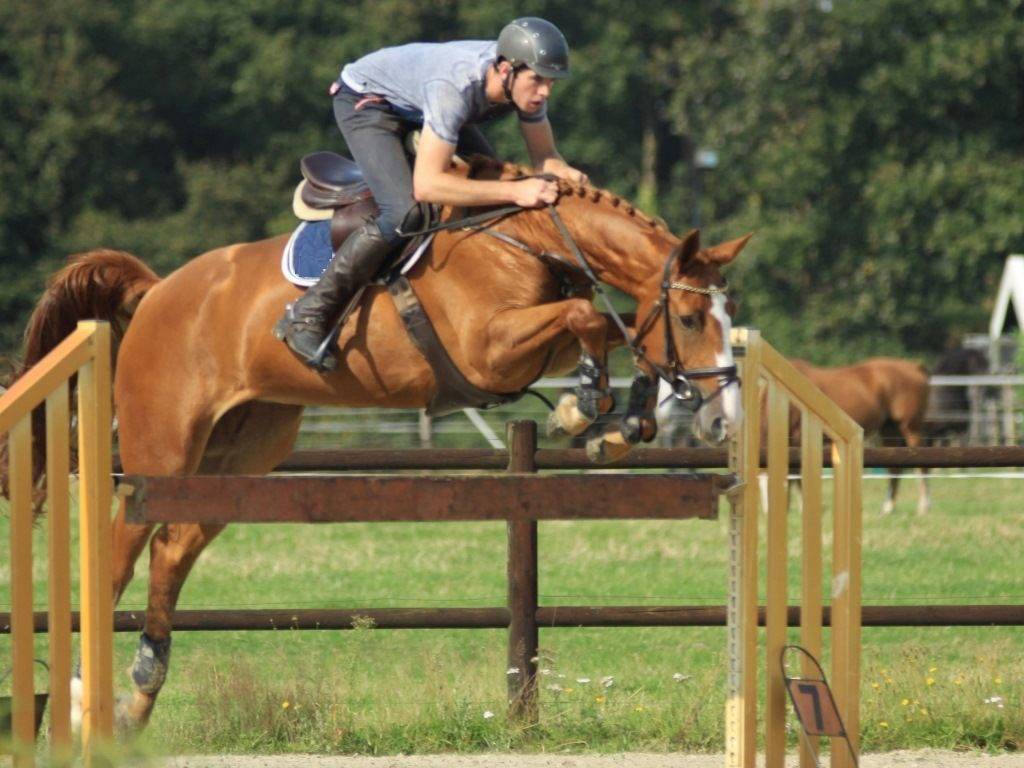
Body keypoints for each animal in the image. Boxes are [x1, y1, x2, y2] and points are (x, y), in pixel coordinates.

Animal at [0, 156, 749, 733]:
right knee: (121, 550)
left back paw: (140, 693)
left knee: (173, 547)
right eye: (690, 317)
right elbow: (588, 317)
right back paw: (82, 698)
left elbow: (610, 327)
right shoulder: (488, 350)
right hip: (162, 451)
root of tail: (157, 292)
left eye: (728, 315)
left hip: (240, 453)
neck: (526, 237)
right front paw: (583, 408)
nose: (724, 422)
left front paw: (617, 422)